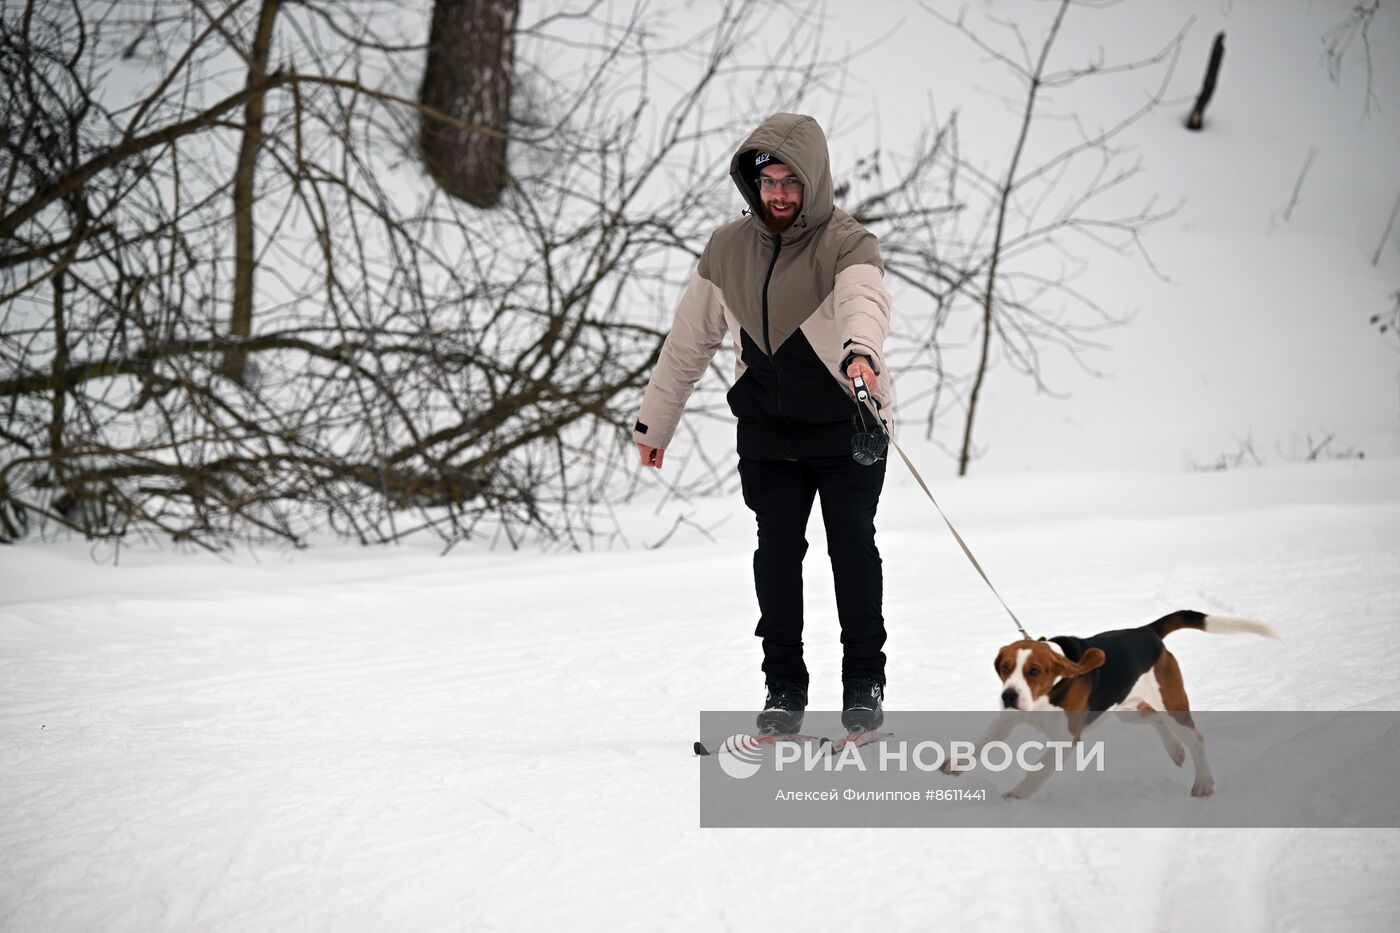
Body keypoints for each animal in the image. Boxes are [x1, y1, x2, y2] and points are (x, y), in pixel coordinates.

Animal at [952, 607, 1282, 795]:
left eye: (1034, 671)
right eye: (1005, 667)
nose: (1008, 695)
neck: (1049, 691)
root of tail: (1147, 632)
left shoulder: (1066, 739)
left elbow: (1037, 770)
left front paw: (1018, 795)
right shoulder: (1009, 717)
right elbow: (983, 741)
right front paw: (955, 764)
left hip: (1172, 702)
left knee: (1195, 737)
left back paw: (1203, 783)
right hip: (1127, 708)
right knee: (1155, 719)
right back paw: (1175, 752)